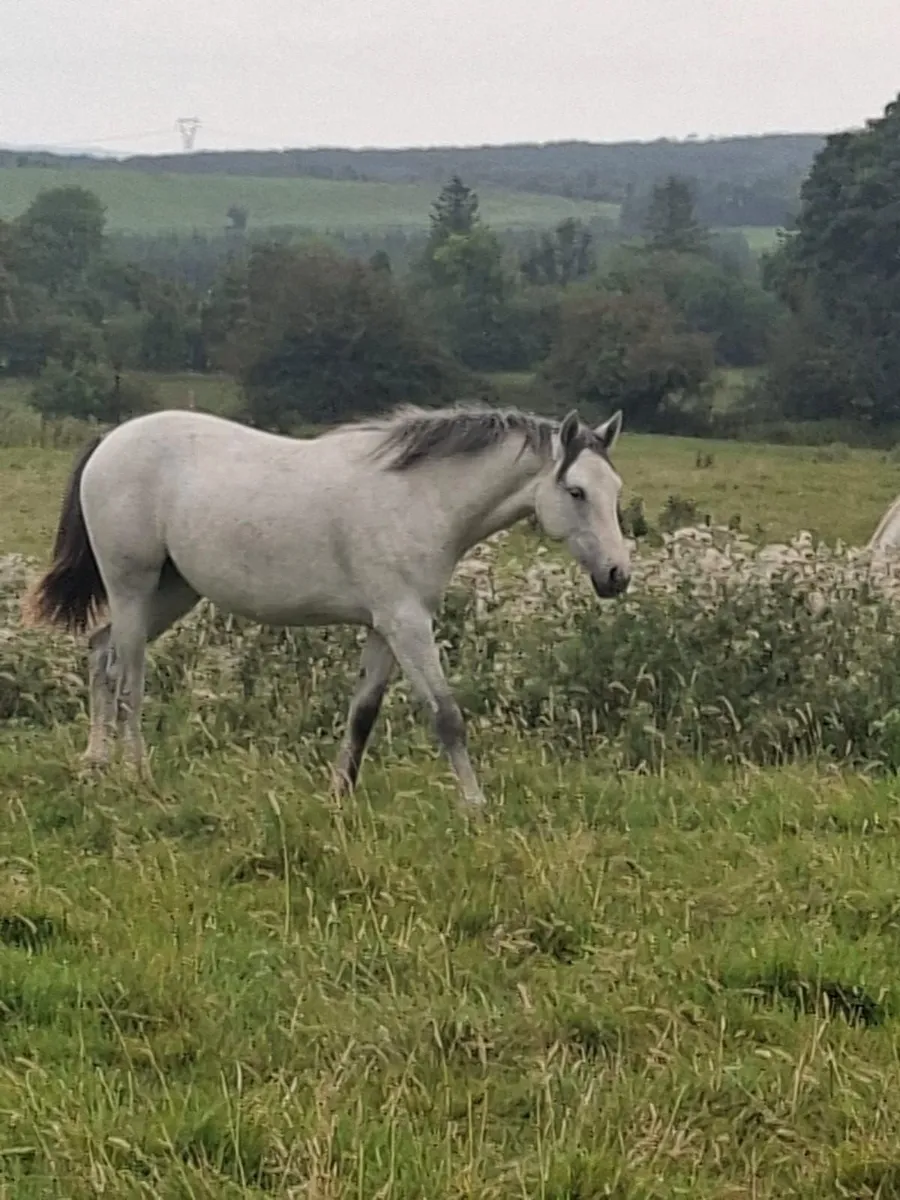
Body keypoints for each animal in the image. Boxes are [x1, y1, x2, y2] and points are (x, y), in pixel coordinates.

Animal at [23, 402, 632, 807]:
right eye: (576, 491)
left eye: (615, 491)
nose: (617, 576)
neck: (420, 497)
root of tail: (111, 441)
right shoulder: (408, 624)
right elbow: (447, 715)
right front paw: (475, 807)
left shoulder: (385, 627)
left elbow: (362, 714)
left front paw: (340, 793)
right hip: (132, 585)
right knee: (129, 678)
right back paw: (138, 774)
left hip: (172, 592)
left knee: (100, 654)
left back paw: (96, 763)